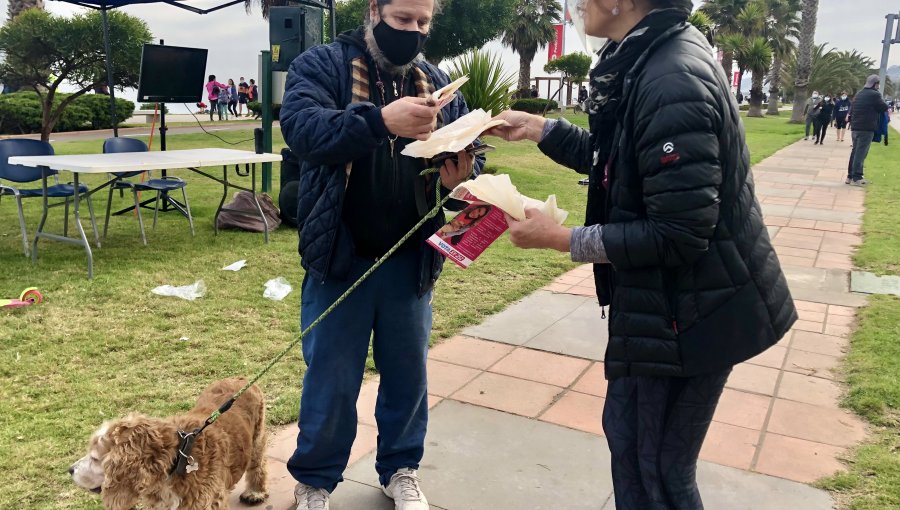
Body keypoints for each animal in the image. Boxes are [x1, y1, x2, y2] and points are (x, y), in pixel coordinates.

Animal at [70, 376, 268, 508]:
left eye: (95, 458)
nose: (69, 469)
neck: (177, 459)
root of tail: (240, 378)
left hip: (256, 439)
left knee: (258, 464)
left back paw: (255, 492)